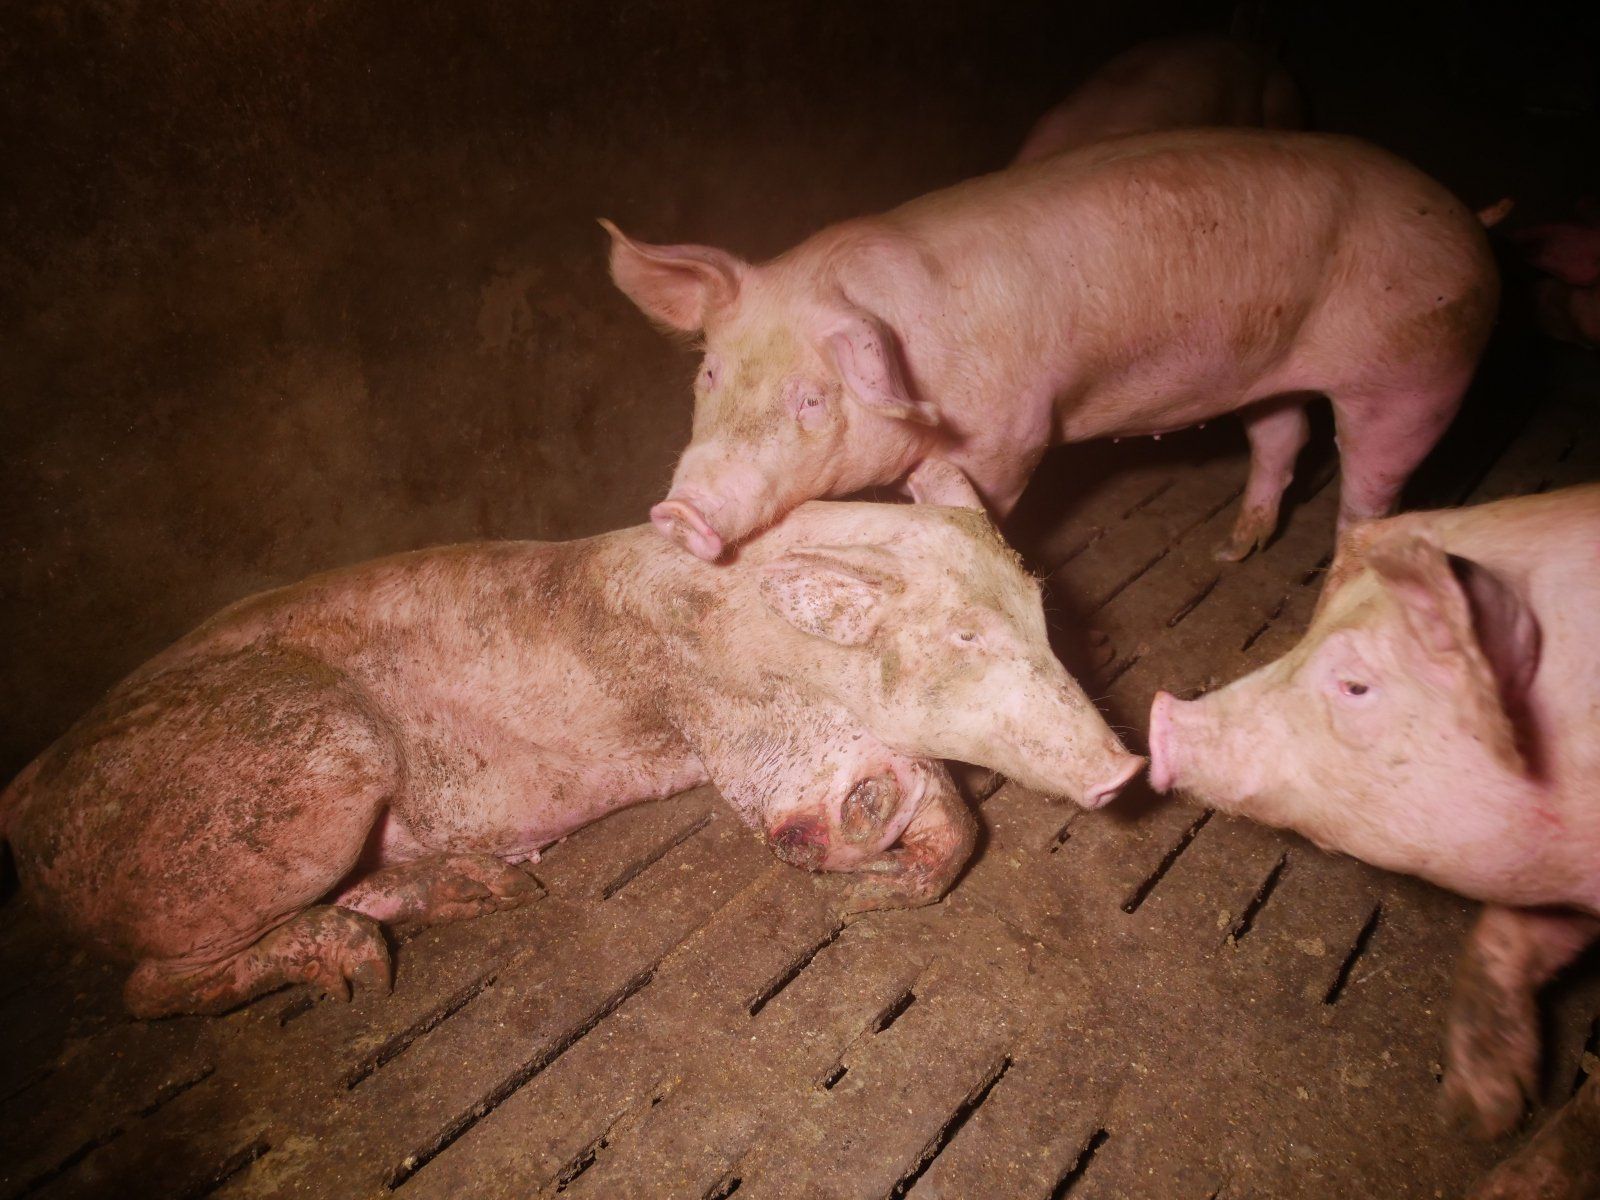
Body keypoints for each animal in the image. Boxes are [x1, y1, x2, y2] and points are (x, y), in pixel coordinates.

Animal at [0, 462, 1139, 1018]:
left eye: (1040, 610)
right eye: (965, 636)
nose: (1125, 769)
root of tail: (23, 794)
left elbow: (942, 805)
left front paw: (882, 887)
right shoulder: (736, 727)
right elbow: (810, 816)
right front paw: (854, 869)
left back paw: (491, 891)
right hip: (317, 755)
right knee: (146, 987)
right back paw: (360, 977)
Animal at [604, 127, 1500, 567]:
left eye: (814, 400)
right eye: (710, 372)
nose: (677, 512)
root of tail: (1469, 219)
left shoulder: (1013, 435)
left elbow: (986, 497)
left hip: (1421, 369)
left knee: (1371, 490)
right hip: (1269, 369)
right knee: (1283, 434)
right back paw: (1230, 552)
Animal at [1147, 485, 1600, 1200]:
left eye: (1356, 685)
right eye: (1307, 634)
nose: (1161, 712)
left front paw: (1497, 1171)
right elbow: (1509, 936)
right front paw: (1476, 1115)